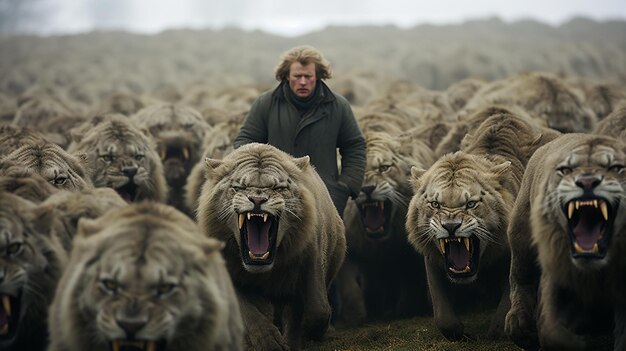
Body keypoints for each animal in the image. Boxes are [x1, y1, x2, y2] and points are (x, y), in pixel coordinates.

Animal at [196, 143, 346, 351]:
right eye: (239, 187)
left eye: (278, 188)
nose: (257, 200)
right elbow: (249, 312)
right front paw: (269, 341)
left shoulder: (309, 261)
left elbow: (317, 309)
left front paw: (305, 336)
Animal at [336, 131, 434, 326]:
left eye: (384, 168)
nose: (367, 188)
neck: (378, 243)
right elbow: (349, 288)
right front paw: (354, 318)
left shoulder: (408, 252)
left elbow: (409, 281)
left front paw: (407, 310)